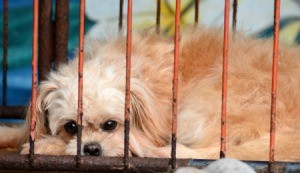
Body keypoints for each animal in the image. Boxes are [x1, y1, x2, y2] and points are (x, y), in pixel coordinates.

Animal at [0, 27, 300, 162]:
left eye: (111, 124)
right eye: (71, 127)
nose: (92, 149)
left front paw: (47, 145)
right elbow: (19, 131)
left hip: (202, 108)